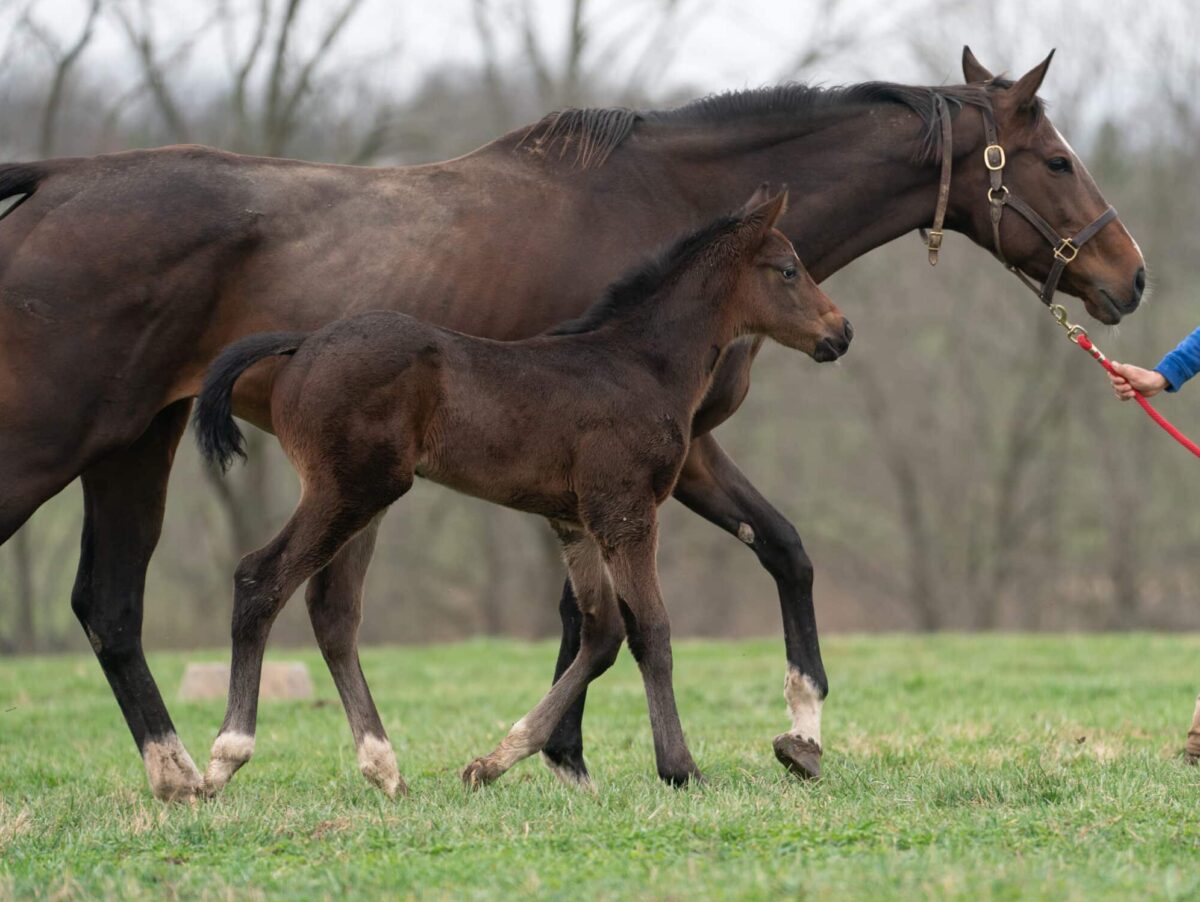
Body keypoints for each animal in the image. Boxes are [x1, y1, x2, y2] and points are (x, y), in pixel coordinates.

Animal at [194, 191, 854, 796]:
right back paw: (226, 756)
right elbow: (652, 631)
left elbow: (602, 634)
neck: (640, 364)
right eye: (788, 269)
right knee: (260, 578)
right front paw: (680, 768)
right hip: (348, 490)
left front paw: (494, 761)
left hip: (366, 500)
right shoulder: (626, 512)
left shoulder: (575, 521)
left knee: (332, 610)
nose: (841, 331)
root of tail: (302, 344)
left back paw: (384, 770)